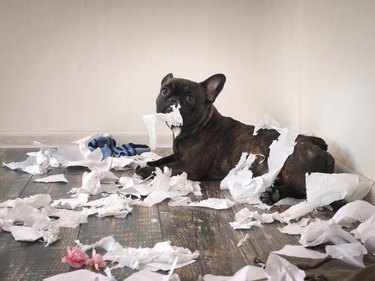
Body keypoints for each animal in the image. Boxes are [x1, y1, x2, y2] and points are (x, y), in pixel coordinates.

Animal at [137, 73, 336, 205]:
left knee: (306, 192)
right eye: (164, 91)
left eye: (190, 98)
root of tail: (314, 142)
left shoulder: (189, 167)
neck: (199, 125)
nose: (173, 100)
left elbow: (165, 167)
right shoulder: (178, 156)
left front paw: (144, 170)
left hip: (293, 168)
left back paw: (276, 195)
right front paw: (148, 163)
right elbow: (162, 160)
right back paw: (272, 192)